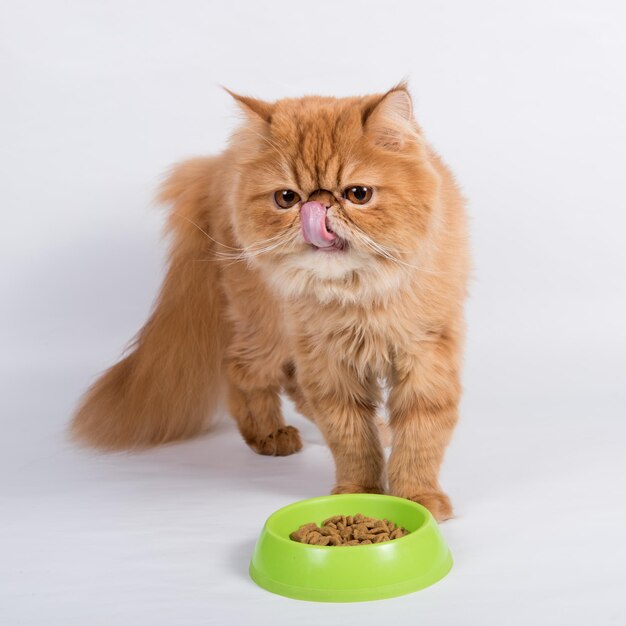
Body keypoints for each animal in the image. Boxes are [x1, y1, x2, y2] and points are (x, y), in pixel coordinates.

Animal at [69, 84, 468, 520]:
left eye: (358, 194)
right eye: (287, 198)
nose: (317, 207)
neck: (356, 295)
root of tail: (221, 164)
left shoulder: (424, 351)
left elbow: (420, 433)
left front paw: (417, 496)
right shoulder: (327, 360)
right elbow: (349, 435)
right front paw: (358, 492)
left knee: (290, 385)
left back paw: (376, 429)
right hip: (267, 328)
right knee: (241, 371)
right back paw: (269, 435)